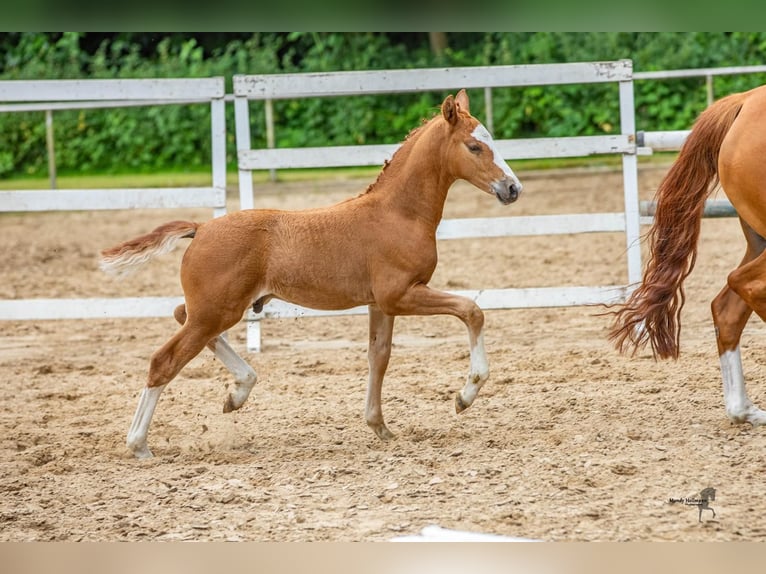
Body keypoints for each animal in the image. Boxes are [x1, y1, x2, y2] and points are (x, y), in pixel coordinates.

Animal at [100, 89, 520, 460]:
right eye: (474, 147)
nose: (513, 188)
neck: (398, 213)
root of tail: (200, 228)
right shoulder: (401, 294)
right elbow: (471, 311)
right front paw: (464, 396)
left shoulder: (380, 304)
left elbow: (379, 356)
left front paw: (380, 427)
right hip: (217, 310)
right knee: (164, 360)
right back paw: (139, 444)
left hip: (217, 309)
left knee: (180, 316)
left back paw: (238, 391)